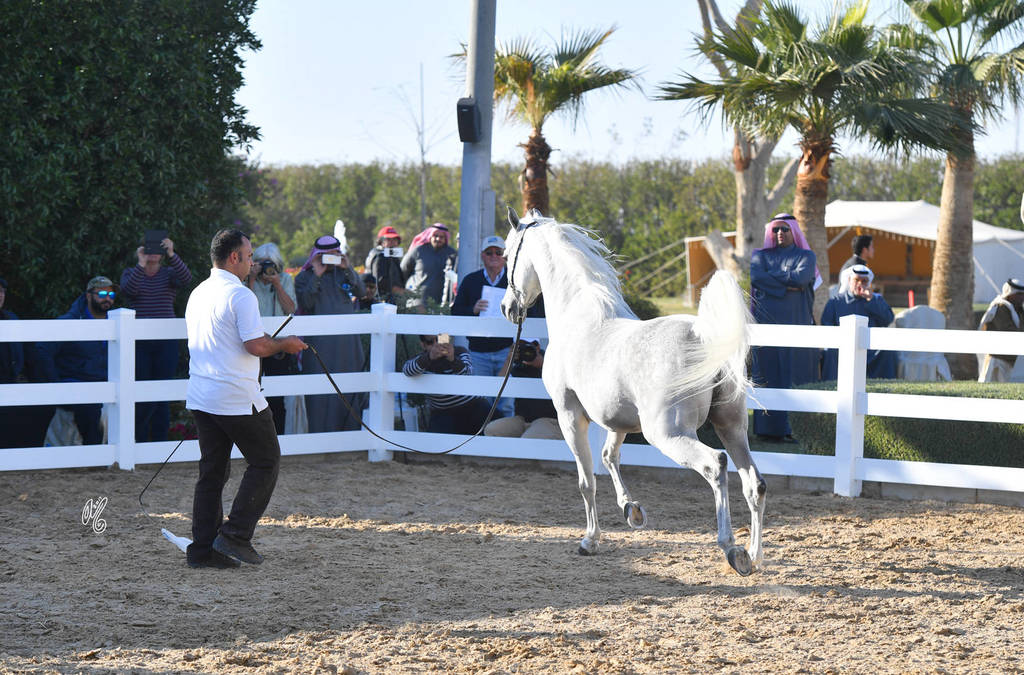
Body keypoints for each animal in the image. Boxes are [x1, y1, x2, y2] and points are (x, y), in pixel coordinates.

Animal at [500, 209, 766, 575]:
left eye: (506, 254)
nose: (507, 307)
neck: (578, 316)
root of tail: (702, 336)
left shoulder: (570, 415)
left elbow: (586, 480)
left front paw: (589, 540)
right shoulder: (619, 422)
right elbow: (609, 457)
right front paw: (632, 511)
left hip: (668, 434)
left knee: (716, 465)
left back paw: (731, 549)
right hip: (732, 427)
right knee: (754, 483)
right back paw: (752, 555)